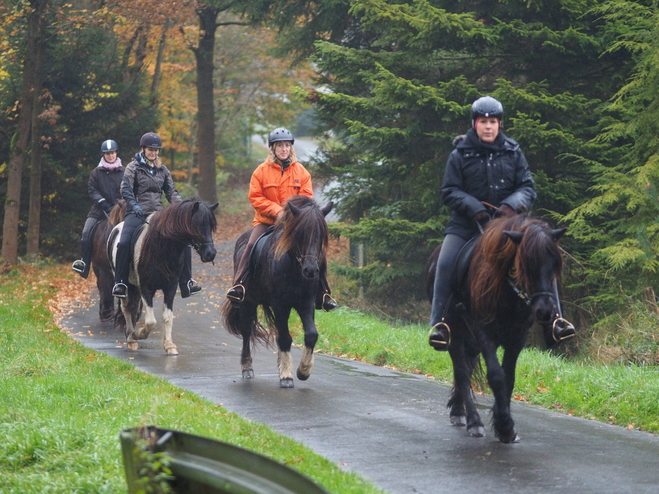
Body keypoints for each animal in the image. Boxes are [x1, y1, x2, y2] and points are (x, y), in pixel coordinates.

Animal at [223, 195, 336, 388]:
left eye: (322, 235)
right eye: (300, 234)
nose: (311, 270)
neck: (294, 268)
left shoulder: (305, 303)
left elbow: (311, 334)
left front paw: (303, 370)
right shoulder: (279, 304)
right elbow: (284, 337)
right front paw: (286, 376)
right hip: (247, 303)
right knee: (246, 332)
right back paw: (247, 367)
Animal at [426, 214, 576, 442]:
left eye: (554, 264)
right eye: (525, 263)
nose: (545, 311)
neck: (508, 292)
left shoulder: (517, 337)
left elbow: (509, 378)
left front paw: (503, 421)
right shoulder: (482, 331)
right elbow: (496, 376)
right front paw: (504, 425)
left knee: (467, 369)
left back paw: (458, 409)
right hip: (456, 333)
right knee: (462, 372)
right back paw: (472, 421)